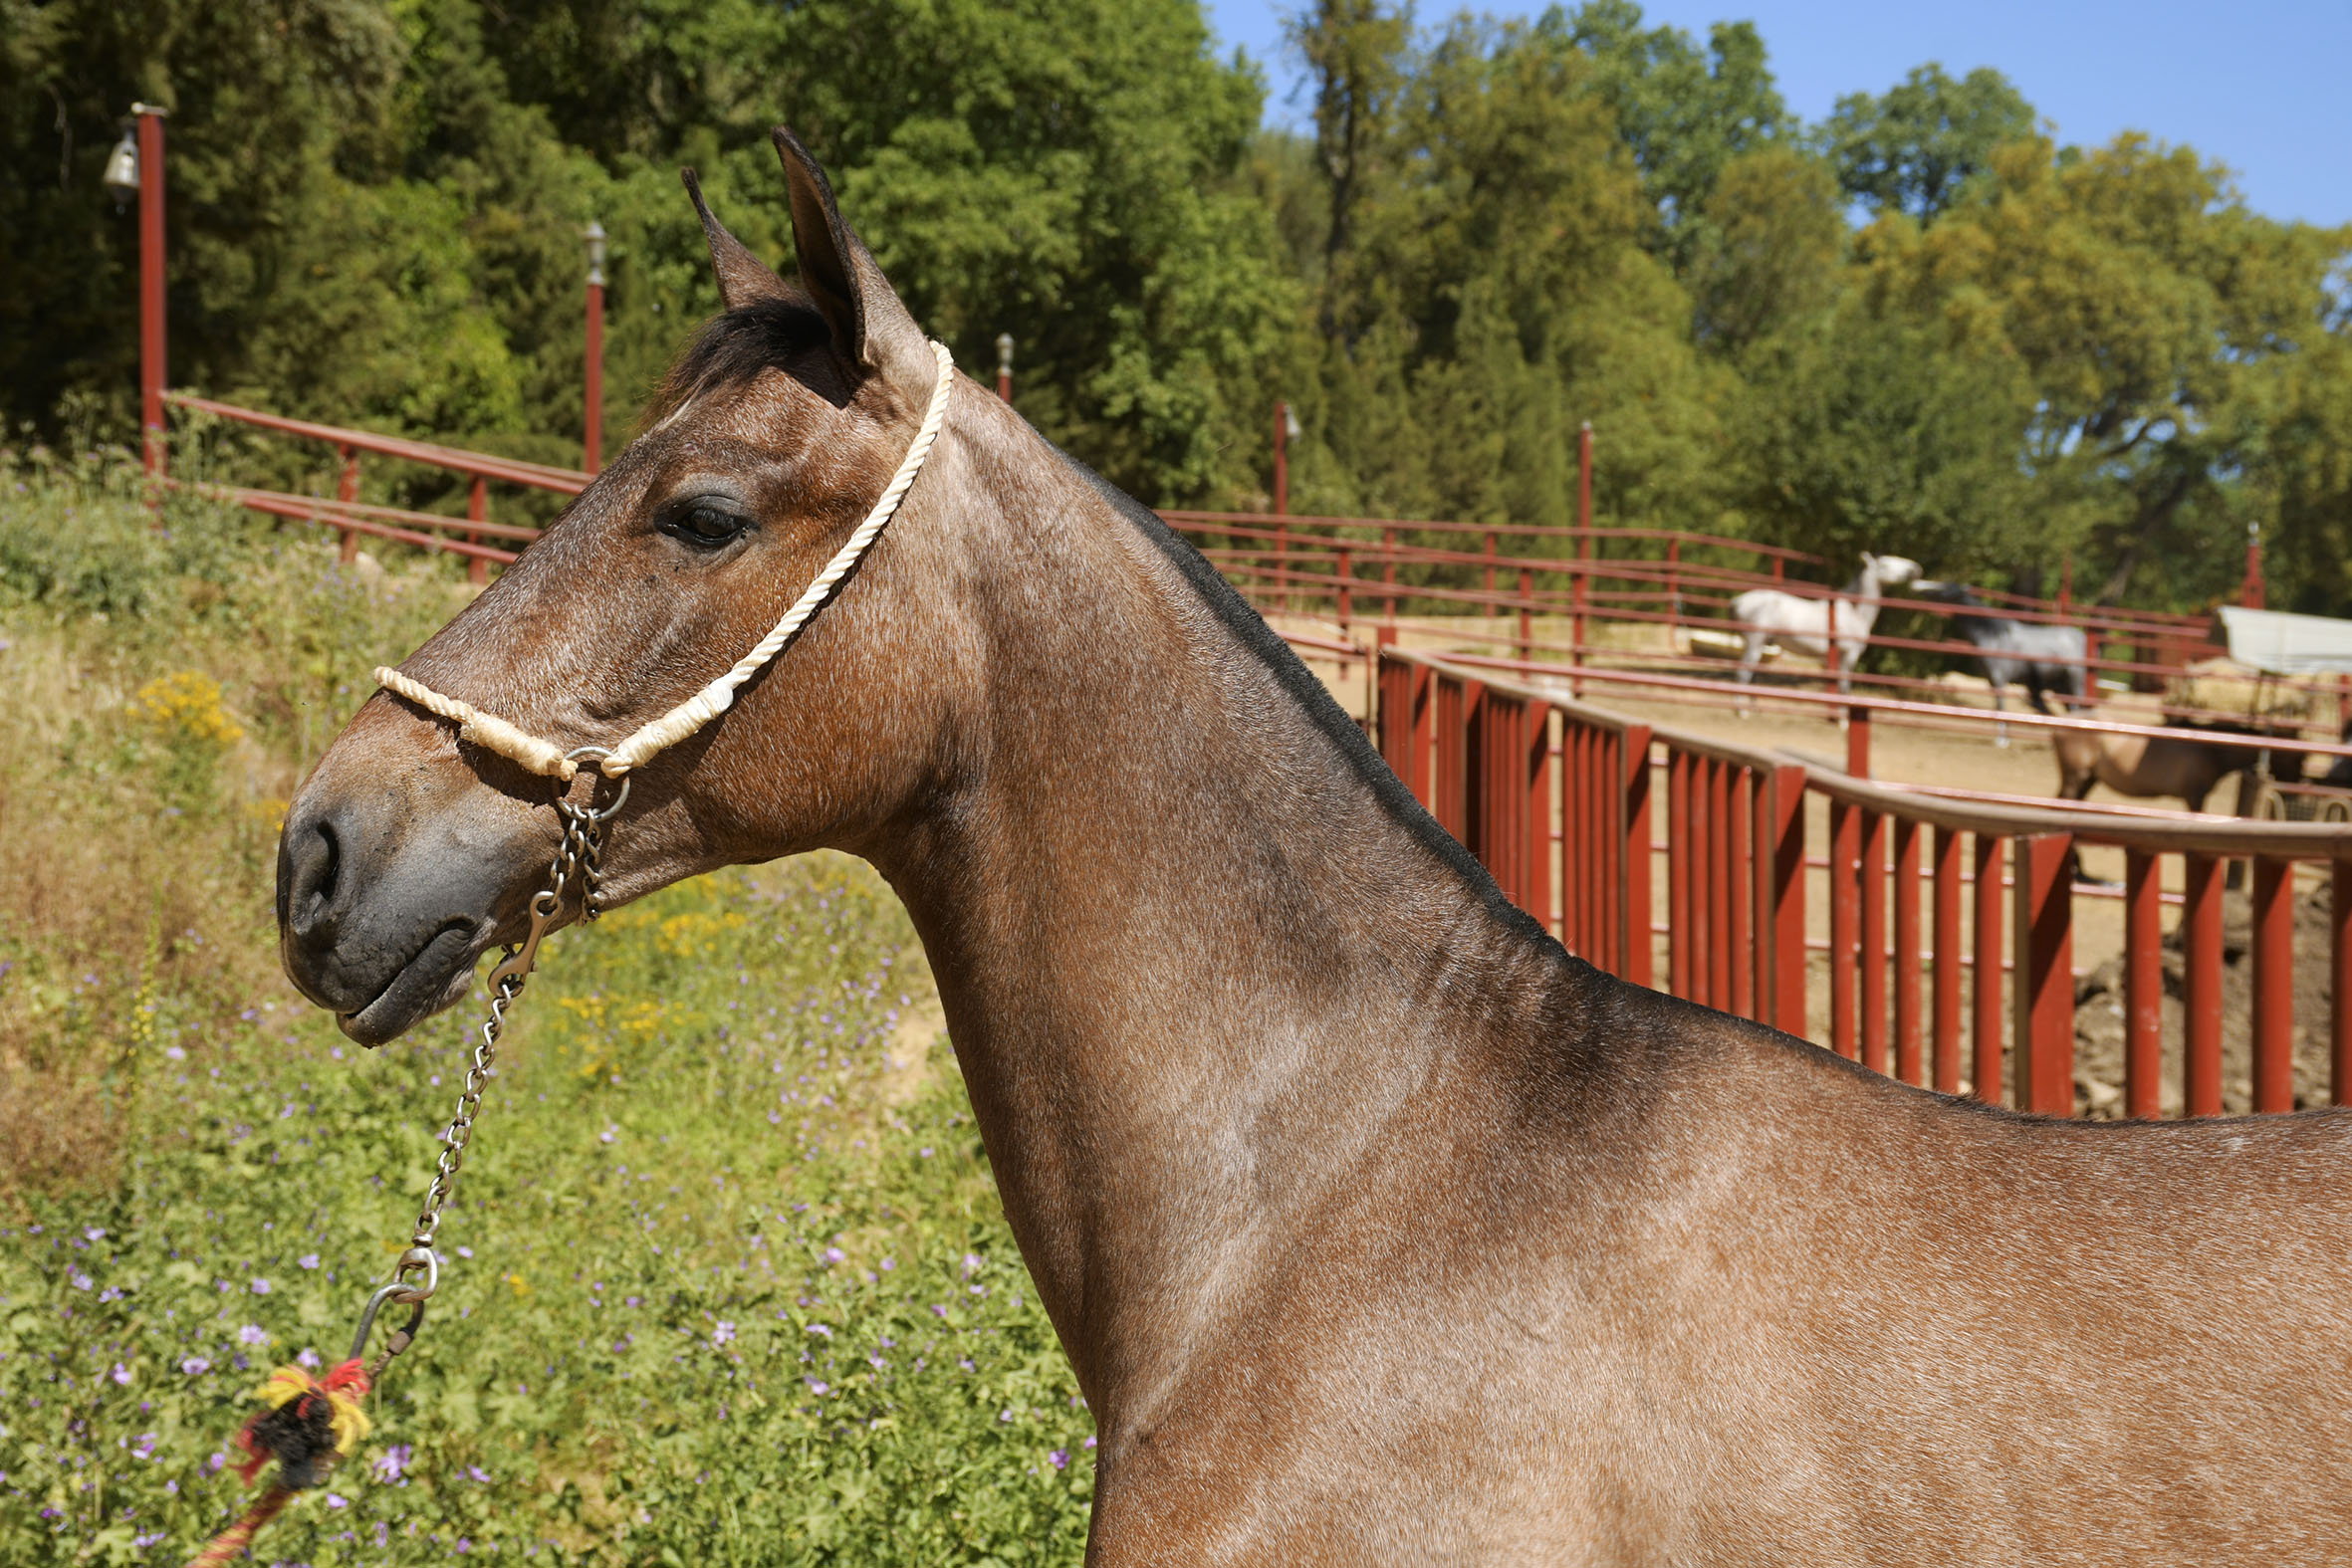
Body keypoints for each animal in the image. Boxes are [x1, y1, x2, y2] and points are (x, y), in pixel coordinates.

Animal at [1740, 555, 1919, 695]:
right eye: (1885, 564)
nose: (1915, 569)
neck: (1855, 612)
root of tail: (1738, 601)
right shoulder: (1849, 654)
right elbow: (1844, 687)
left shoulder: (1829, 659)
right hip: (1755, 643)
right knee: (1743, 672)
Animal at [1909, 582, 2097, 743]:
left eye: (1945, 589)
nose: (1920, 588)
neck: (1994, 637)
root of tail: (2081, 638)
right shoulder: (1994, 681)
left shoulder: (1999, 679)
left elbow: (2001, 707)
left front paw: (2002, 738)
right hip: (2062, 685)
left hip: (2075, 681)